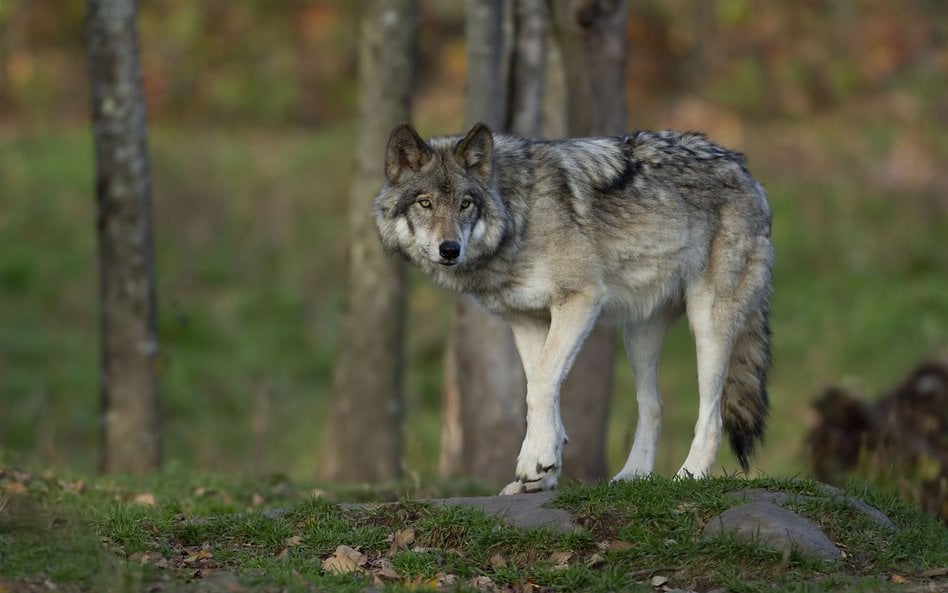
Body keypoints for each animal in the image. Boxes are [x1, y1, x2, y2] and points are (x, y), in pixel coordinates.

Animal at [370, 122, 772, 492]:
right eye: (425, 203)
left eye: (465, 204)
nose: (450, 249)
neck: (519, 215)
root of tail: (745, 169)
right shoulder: (527, 321)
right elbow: (541, 390)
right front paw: (543, 470)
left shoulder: (580, 300)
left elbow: (541, 386)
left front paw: (535, 462)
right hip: (637, 338)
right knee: (653, 405)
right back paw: (632, 476)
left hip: (708, 326)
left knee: (711, 414)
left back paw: (690, 475)